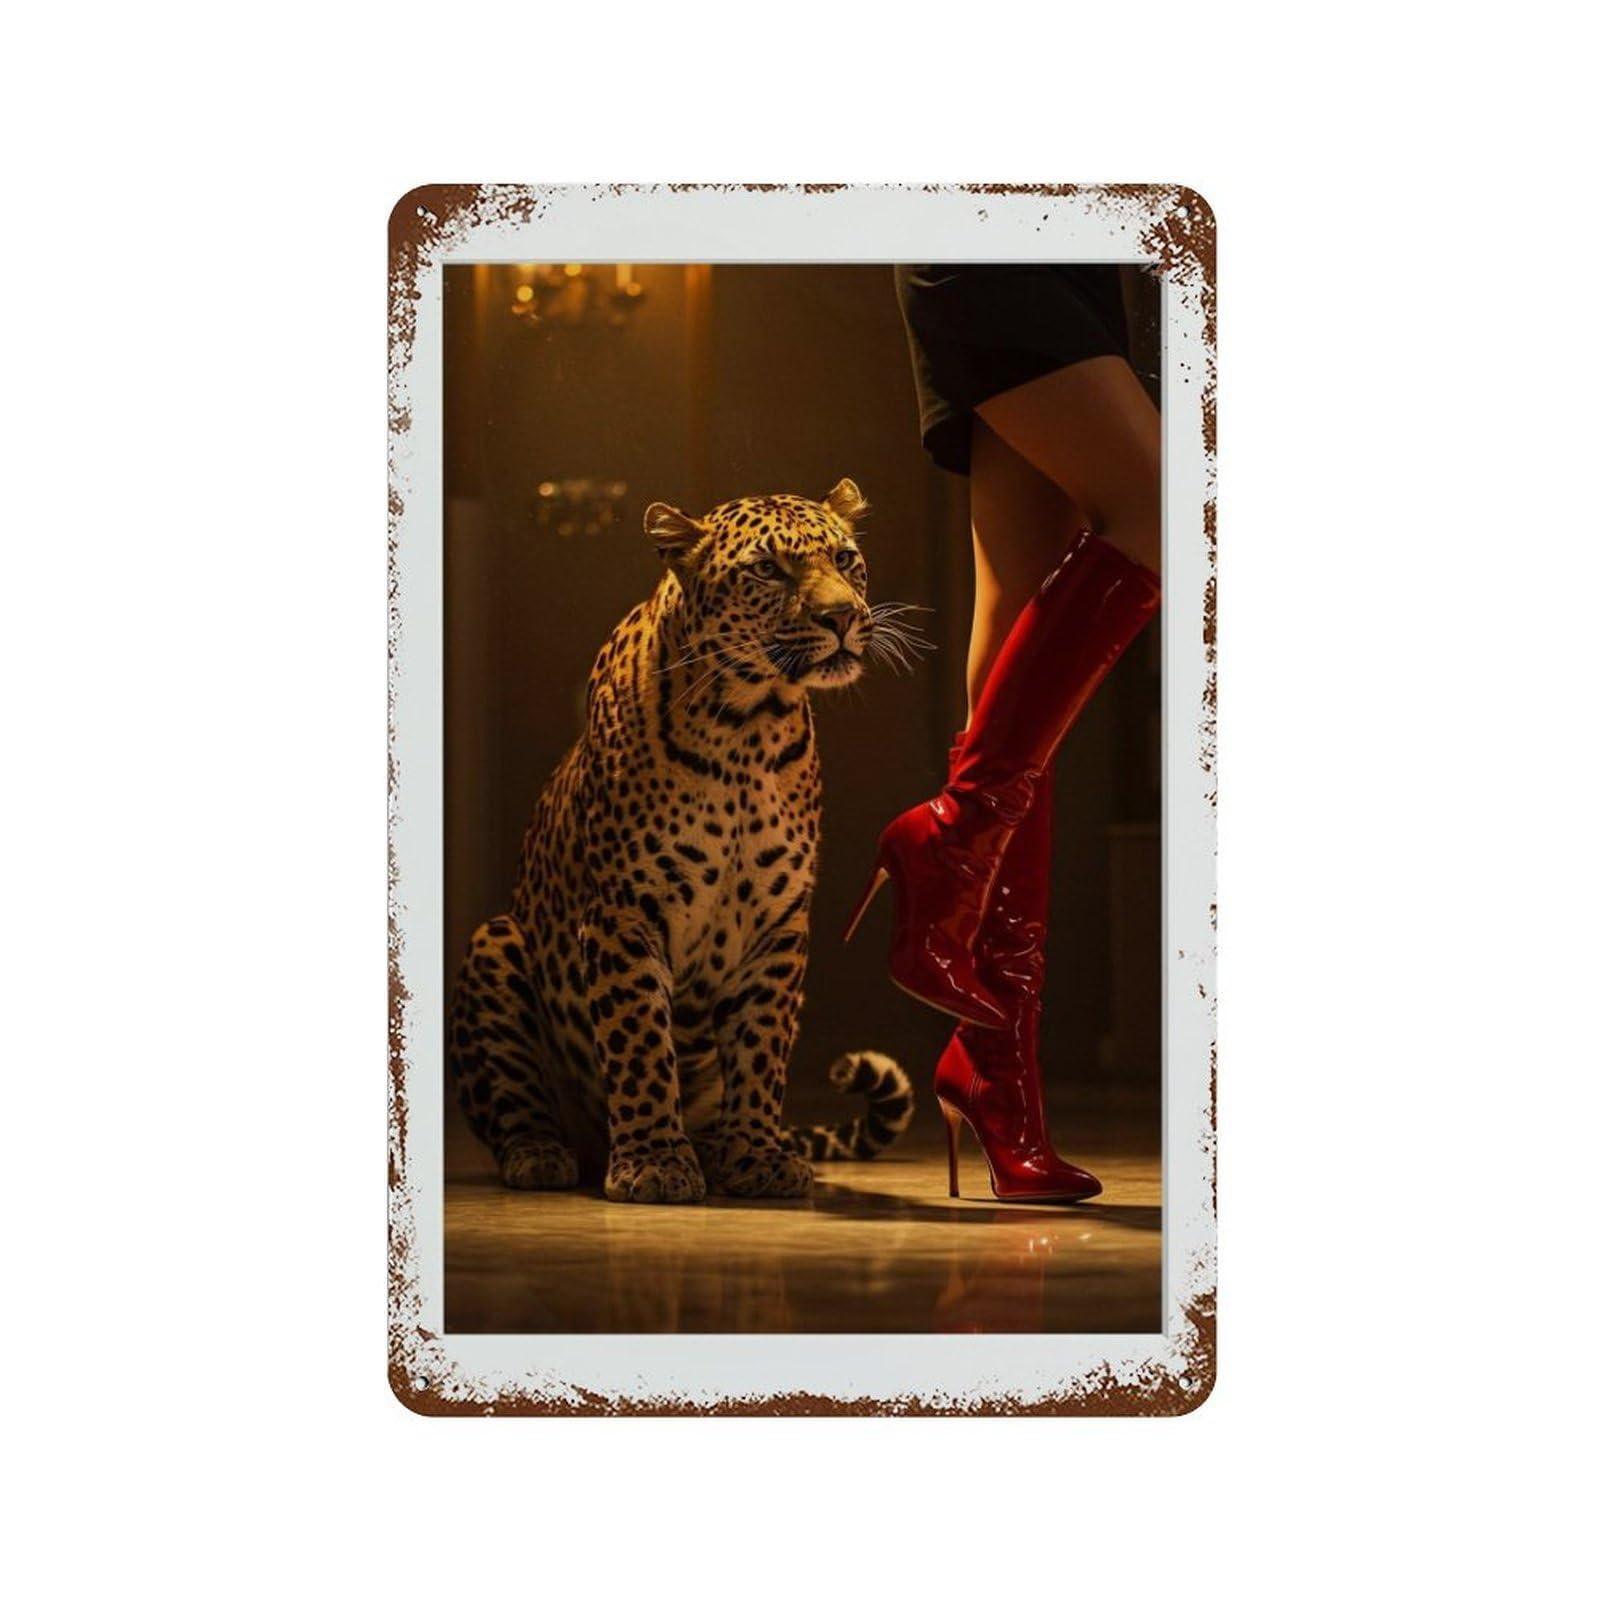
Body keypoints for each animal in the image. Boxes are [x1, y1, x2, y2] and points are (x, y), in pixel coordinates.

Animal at [448, 478, 917, 1204]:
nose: (843, 616)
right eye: (767, 570)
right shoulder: (623, 913)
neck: (749, 726)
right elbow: (640, 1041)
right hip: (492, 945)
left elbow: (760, 1049)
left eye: (845, 558)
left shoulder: (778, 924)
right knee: (515, 1107)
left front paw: (757, 1154)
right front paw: (654, 1163)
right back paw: (542, 1154)